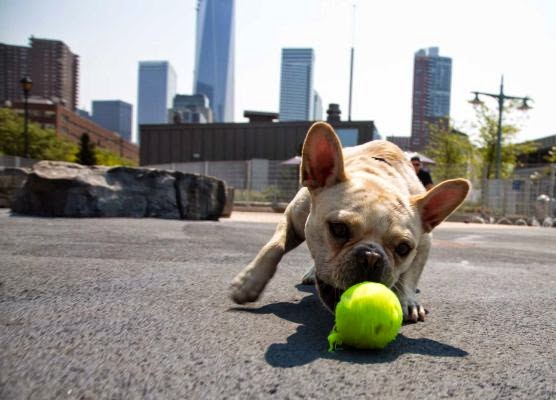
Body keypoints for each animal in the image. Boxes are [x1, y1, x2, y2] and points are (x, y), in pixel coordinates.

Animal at [230, 122, 470, 322]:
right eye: (339, 229)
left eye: (403, 248)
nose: (371, 256)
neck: (377, 175)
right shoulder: (291, 218)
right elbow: (274, 246)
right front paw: (247, 283)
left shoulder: (424, 242)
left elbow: (411, 273)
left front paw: (407, 300)